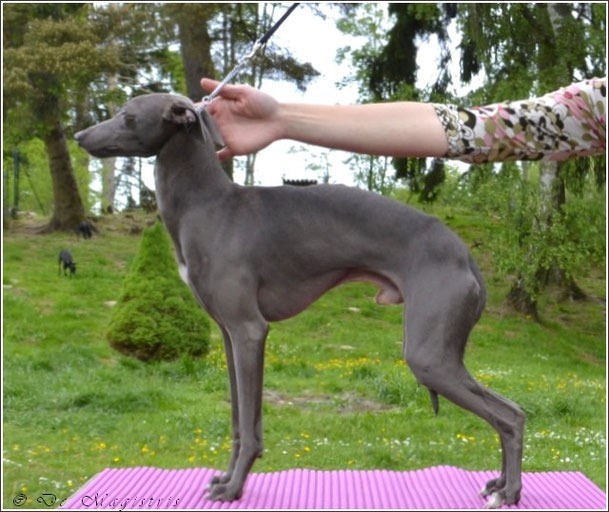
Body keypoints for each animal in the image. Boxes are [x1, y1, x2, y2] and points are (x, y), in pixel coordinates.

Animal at [75, 93, 525, 508]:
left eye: (128, 116)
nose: (79, 136)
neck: (208, 206)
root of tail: (463, 253)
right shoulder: (228, 335)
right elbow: (238, 420)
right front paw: (226, 479)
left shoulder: (249, 330)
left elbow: (250, 426)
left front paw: (234, 489)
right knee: (512, 411)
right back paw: (500, 485)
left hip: (429, 355)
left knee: (509, 416)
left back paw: (510, 491)